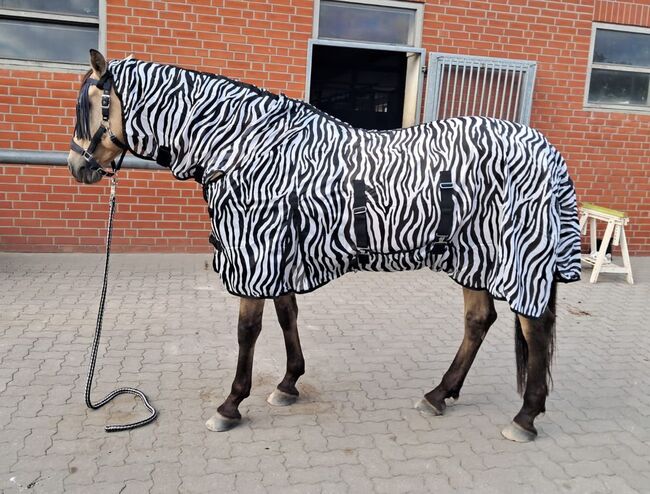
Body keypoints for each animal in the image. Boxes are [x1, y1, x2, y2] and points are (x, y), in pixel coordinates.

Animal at [68, 50, 581, 442]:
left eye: (92, 105)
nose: (78, 167)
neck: (247, 148)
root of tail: (548, 151)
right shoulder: (279, 255)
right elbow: (287, 315)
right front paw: (289, 383)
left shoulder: (257, 253)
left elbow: (248, 332)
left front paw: (231, 404)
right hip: (473, 258)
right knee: (479, 321)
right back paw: (439, 395)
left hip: (519, 261)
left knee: (534, 329)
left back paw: (525, 417)